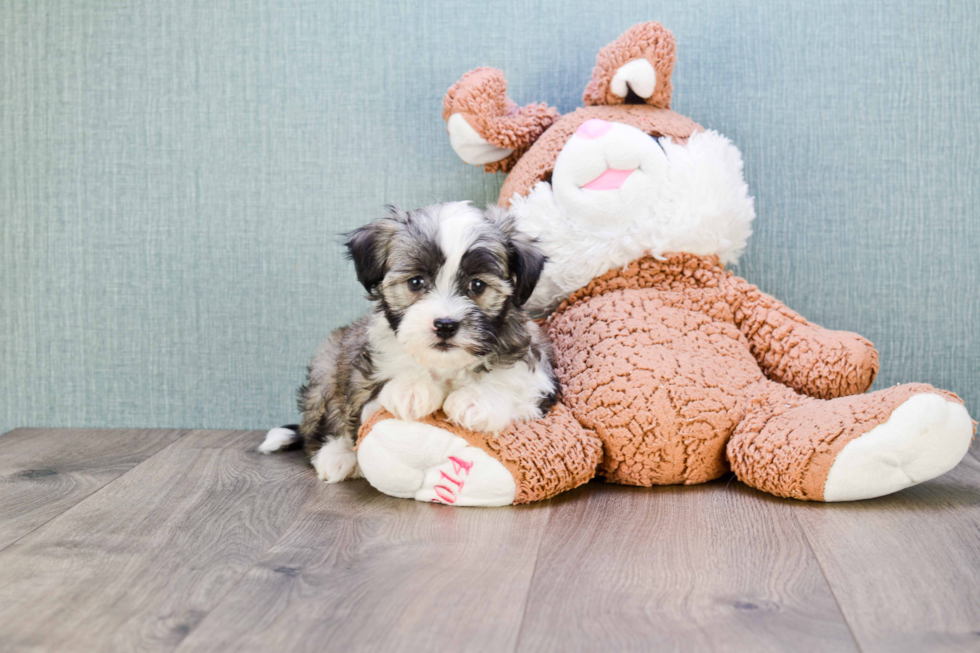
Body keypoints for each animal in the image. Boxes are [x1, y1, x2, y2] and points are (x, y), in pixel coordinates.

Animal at [260, 201, 560, 482]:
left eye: (477, 285)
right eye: (416, 282)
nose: (445, 325)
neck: (445, 365)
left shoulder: (537, 385)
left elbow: (511, 379)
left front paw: (476, 400)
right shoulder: (364, 388)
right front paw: (412, 388)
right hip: (327, 365)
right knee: (322, 423)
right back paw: (336, 456)